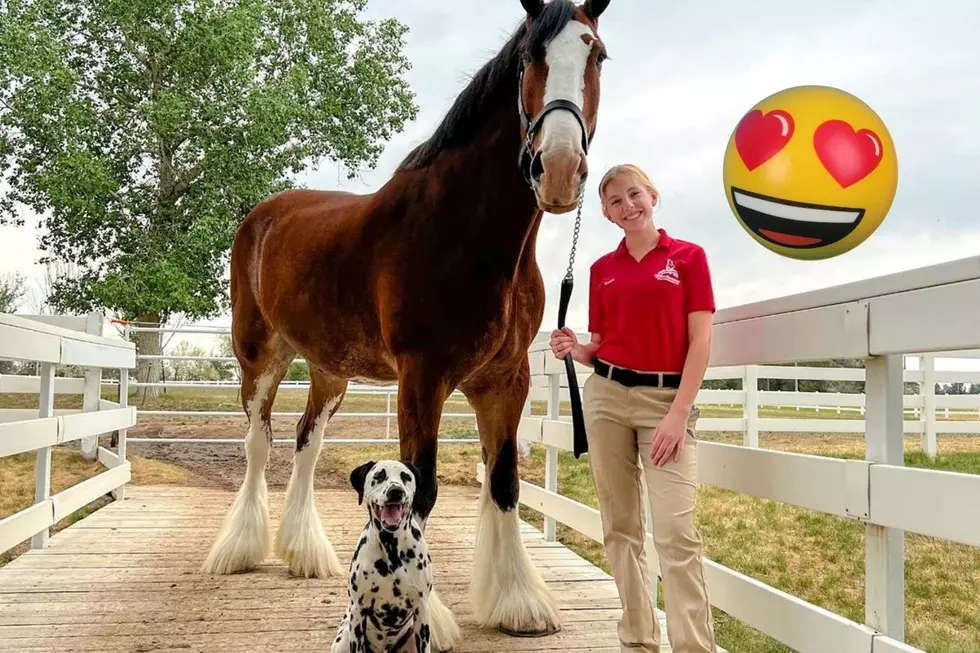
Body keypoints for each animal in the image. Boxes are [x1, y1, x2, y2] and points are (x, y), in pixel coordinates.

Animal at [334, 458, 432, 652]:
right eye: (379, 476)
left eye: (405, 477)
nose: (396, 491)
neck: (391, 549)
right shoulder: (358, 612)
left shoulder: (421, 610)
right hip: (343, 638)